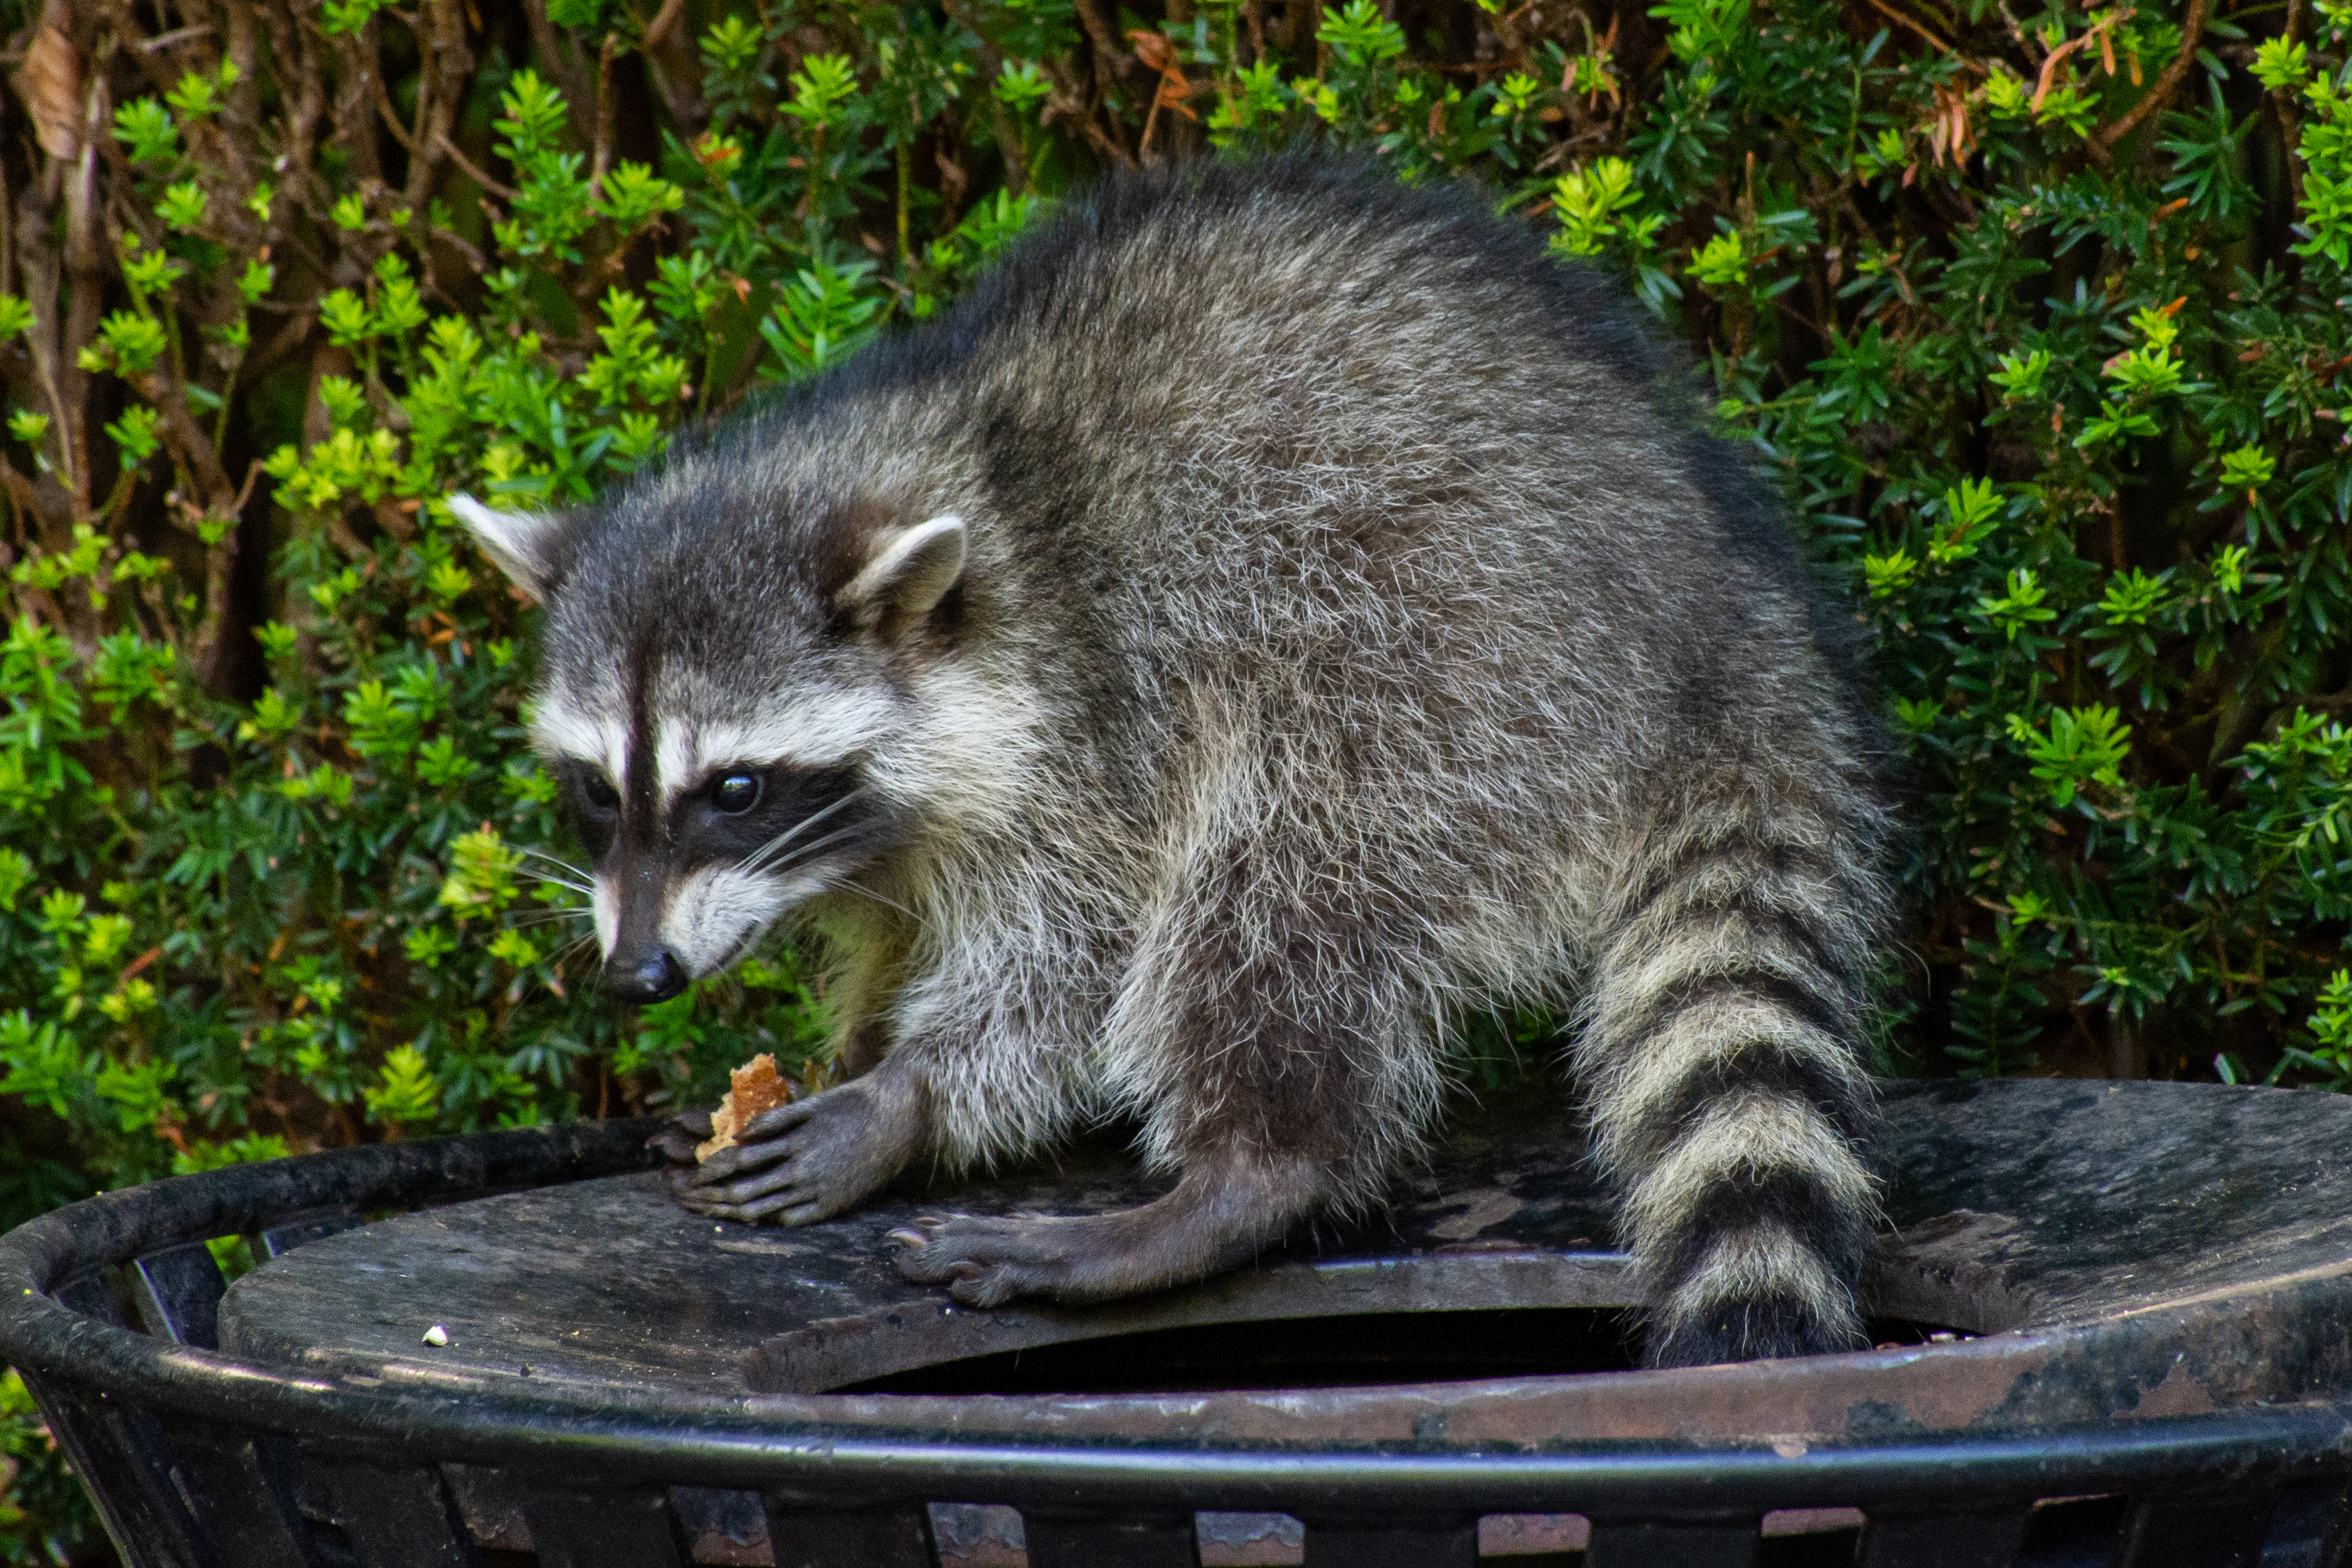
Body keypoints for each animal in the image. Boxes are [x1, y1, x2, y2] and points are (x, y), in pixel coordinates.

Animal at [454, 152, 1891, 1363]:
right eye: (597, 789)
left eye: (736, 788)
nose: (637, 973)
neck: (968, 463)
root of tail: (1724, 612)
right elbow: (894, 936)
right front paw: (849, 1049)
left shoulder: (1095, 714)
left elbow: (1072, 954)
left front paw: (907, 1098)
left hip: (1449, 662)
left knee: (1277, 881)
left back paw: (1239, 1175)